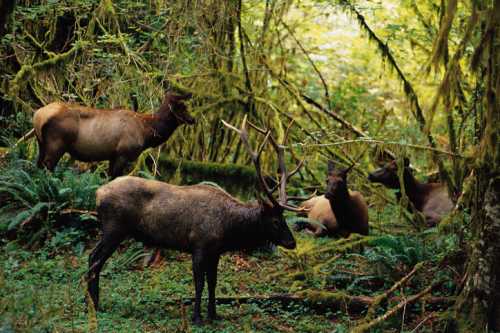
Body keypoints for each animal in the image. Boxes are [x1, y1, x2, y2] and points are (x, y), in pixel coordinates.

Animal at [32, 89, 193, 178]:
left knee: (38, 165)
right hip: (56, 144)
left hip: (41, 144)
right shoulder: (123, 154)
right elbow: (114, 178)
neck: (147, 132)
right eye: (182, 106)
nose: (193, 119)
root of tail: (38, 115)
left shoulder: (113, 156)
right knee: (47, 167)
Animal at [86, 115, 304, 322]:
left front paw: (214, 315)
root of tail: (98, 193)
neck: (228, 228)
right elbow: (199, 283)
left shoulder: (215, 252)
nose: (292, 242)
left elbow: (213, 282)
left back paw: (93, 302)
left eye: (284, 219)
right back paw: (94, 305)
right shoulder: (199, 245)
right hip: (114, 228)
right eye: (275, 221)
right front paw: (197, 317)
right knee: (95, 258)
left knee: (93, 257)